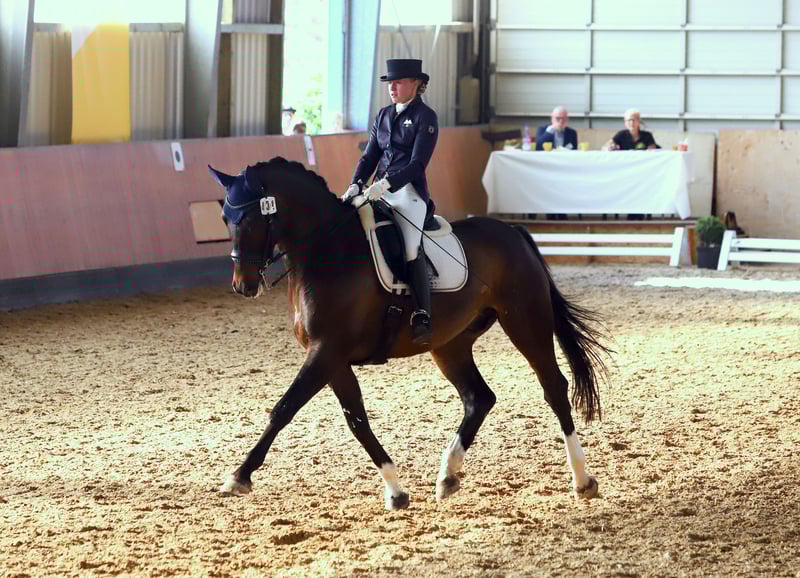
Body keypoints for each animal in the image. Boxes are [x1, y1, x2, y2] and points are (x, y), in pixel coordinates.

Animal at [208, 157, 610, 510]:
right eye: (225, 218)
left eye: (250, 218)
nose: (243, 285)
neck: (329, 250)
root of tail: (512, 231)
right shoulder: (333, 359)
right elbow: (357, 420)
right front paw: (396, 491)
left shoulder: (326, 352)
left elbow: (283, 409)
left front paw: (239, 476)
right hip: (450, 344)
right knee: (479, 398)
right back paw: (448, 476)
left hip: (526, 321)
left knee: (553, 387)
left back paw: (582, 480)